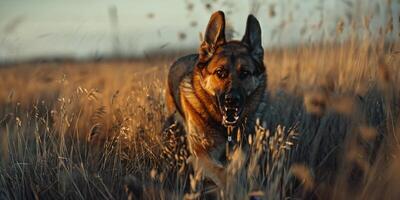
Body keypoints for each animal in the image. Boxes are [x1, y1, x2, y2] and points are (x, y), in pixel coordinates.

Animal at [164, 10, 268, 188]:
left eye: (245, 73)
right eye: (220, 72)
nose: (231, 101)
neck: (225, 129)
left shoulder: (242, 148)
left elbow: (237, 165)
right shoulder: (200, 155)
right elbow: (222, 173)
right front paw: (234, 187)